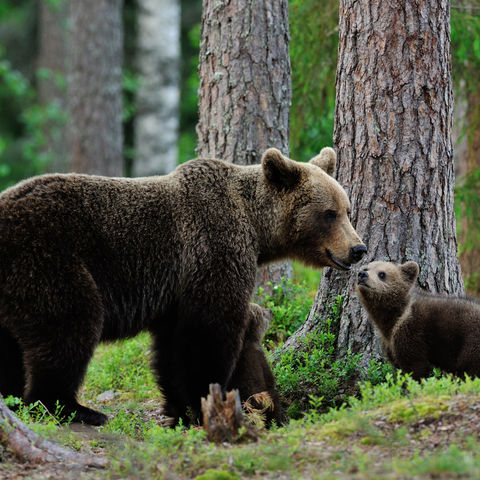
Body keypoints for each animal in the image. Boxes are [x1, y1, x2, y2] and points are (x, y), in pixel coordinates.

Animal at [0, 146, 364, 424]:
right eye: (329, 213)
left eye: (347, 209)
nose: (357, 248)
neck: (256, 230)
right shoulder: (213, 248)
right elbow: (208, 333)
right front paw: (205, 402)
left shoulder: (173, 290)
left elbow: (171, 347)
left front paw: (180, 409)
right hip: (48, 259)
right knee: (70, 326)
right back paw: (73, 408)